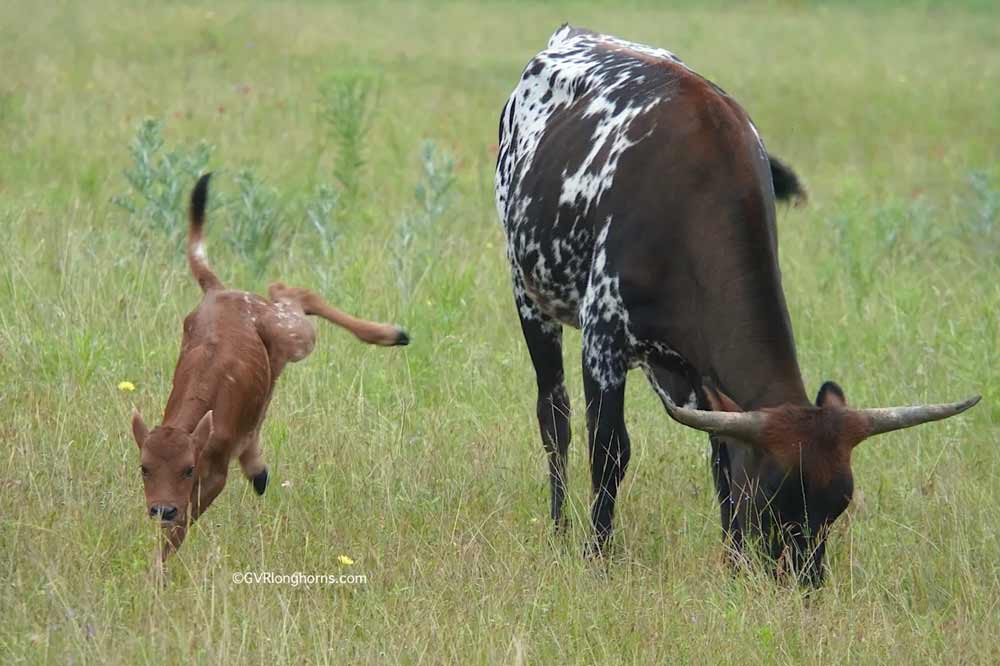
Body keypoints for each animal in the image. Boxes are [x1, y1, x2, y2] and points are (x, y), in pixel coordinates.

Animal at [496, 24, 980, 580]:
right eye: (773, 495)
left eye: (839, 503)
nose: (802, 583)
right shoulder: (603, 339)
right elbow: (610, 449)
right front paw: (597, 556)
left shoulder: (704, 372)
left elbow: (724, 455)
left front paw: (731, 561)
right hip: (528, 294)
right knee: (554, 418)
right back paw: (559, 529)